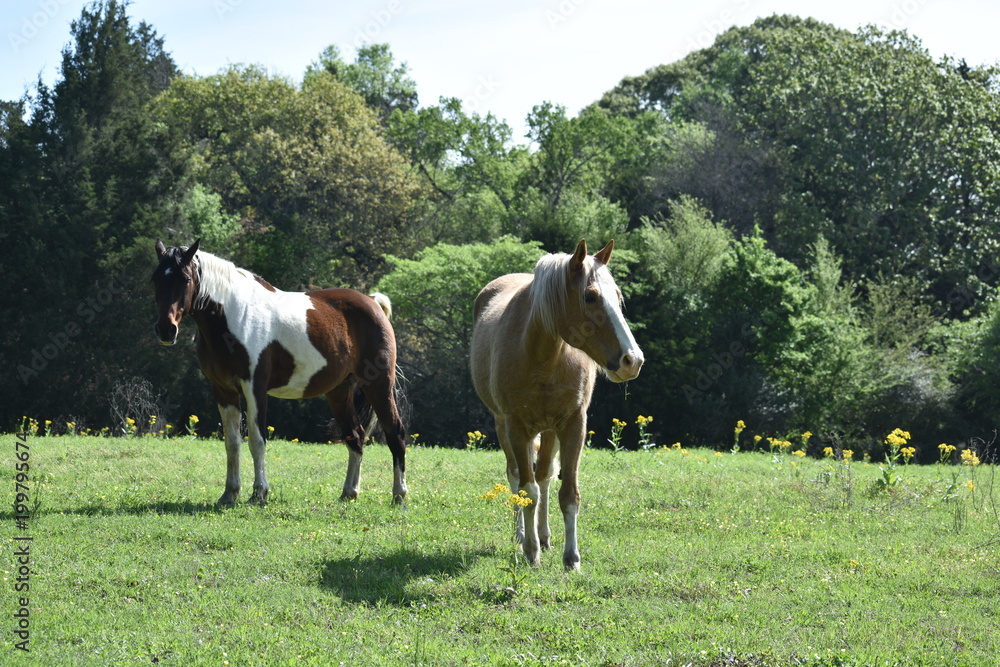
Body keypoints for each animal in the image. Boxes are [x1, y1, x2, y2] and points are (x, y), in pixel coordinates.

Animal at [149, 240, 406, 506]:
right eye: (156, 279)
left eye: (185, 279)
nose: (166, 330)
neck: (234, 316)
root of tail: (373, 302)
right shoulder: (224, 391)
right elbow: (232, 442)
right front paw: (229, 494)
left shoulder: (255, 388)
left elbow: (257, 440)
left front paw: (259, 494)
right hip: (340, 391)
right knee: (355, 437)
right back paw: (349, 493)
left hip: (378, 385)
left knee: (395, 433)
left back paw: (399, 494)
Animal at [470, 237, 644, 572]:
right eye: (591, 296)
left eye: (618, 297)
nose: (633, 360)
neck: (544, 359)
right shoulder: (516, 427)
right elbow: (526, 490)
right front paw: (530, 552)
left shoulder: (574, 424)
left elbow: (568, 494)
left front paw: (571, 558)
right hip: (504, 425)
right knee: (517, 477)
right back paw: (522, 535)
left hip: (549, 430)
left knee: (545, 476)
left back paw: (544, 535)